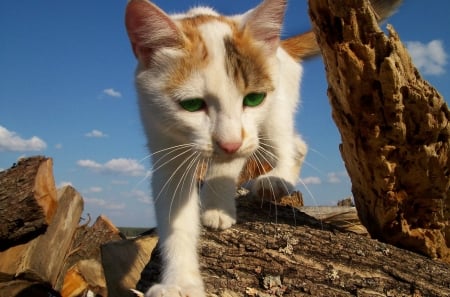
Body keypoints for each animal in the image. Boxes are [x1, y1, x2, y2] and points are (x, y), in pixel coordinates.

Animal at [125, 0, 402, 296]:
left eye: (253, 99)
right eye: (191, 105)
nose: (229, 143)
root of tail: (281, 46)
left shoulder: (248, 135)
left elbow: (227, 165)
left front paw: (216, 208)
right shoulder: (164, 143)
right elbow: (177, 220)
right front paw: (179, 282)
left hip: (275, 114)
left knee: (291, 146)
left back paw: (276, 180)